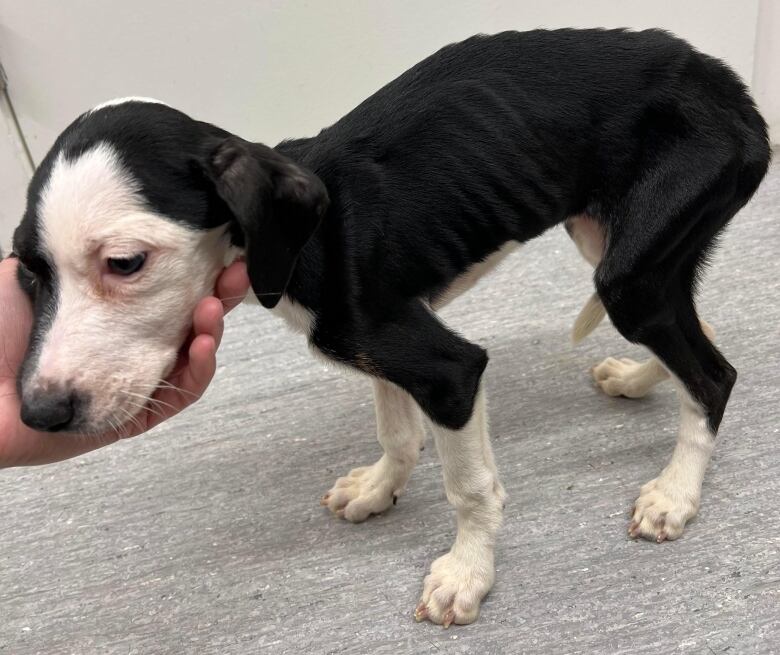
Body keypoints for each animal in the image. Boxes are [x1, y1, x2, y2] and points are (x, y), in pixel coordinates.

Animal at [10, 29, 768, 624]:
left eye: (125, 262)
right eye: (28, 272)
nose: (39, 413)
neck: (303, 238)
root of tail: (728, 85)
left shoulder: (448, 370)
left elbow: (470, 486)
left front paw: (466, 573)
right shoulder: (381, 353)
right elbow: (397, 433)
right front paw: (378, 489)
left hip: (630, 271)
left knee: (713, 374)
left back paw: (675, 492)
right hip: (614, 240)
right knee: (692, 330)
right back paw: (639, 379)